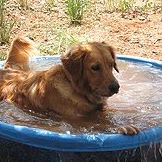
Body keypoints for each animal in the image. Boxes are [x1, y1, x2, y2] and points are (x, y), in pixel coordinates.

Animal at [0, 37, 139, 135]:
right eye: (95, 67)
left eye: (111, 64)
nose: (116, 87)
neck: (76, 89)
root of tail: (9, 71)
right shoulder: (75, 119)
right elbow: (97, 123)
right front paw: (122, 127)